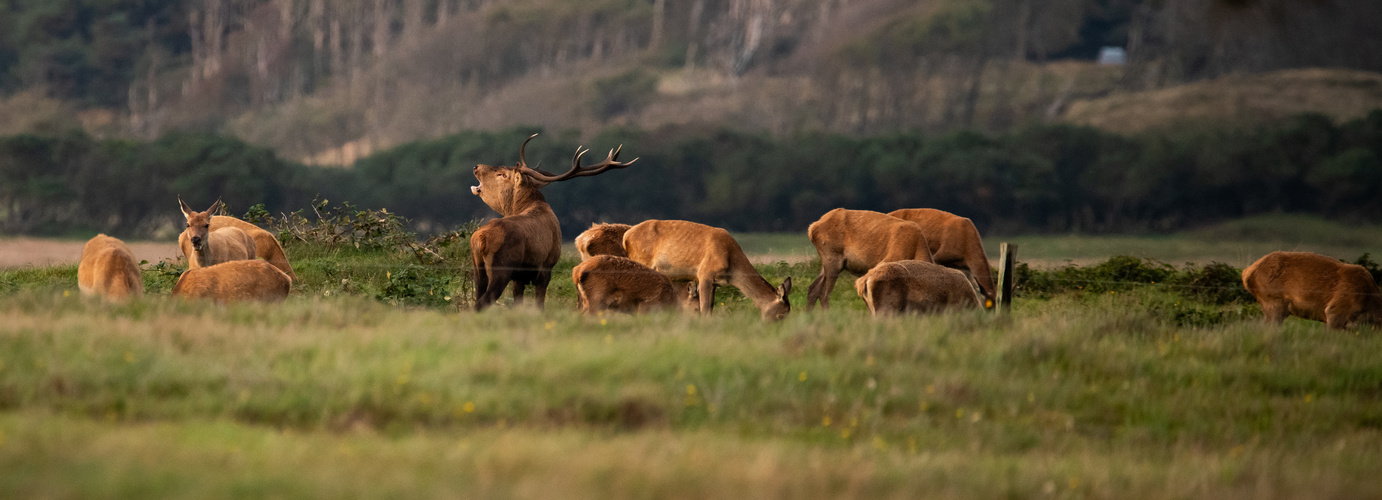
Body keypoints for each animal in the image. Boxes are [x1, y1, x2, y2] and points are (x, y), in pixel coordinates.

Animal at [467, 134, 632, 310]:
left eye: (503, 174)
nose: (476, 166)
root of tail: (480, 239)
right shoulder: (546, 267)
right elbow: (540, 304)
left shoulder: (522, 276)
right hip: (501, 268)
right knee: (482, 303)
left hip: (479, 268)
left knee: (478, 298)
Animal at [624, 218, 796, 320]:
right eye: (781, 315)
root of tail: (626, 236)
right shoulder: (705, 273)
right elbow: (704, 309)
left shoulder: (715, 282)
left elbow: (711, 308)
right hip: (640, 260)